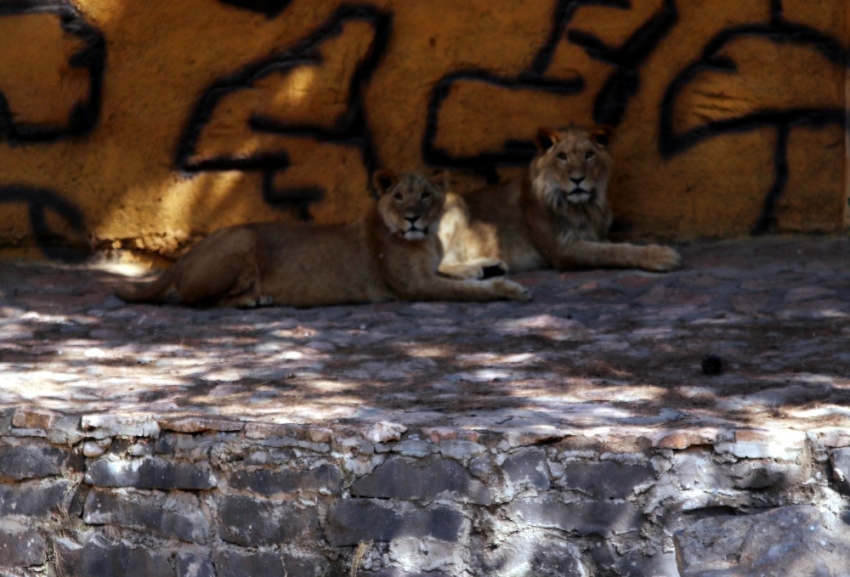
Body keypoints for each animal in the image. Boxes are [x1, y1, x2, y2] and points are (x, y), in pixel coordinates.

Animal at [111, 170, 524, 308]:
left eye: (425, 196)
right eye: (398, 196)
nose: (412, 218)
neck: (426, 239)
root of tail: (184, 256)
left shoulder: (427, 271)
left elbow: (455, 271)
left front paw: (489, 266)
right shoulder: (414, 286)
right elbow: (464, 290)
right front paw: (508, 288)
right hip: (244, 237)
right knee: (196, 300)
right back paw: (253, 300)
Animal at [440, 123, 680, 274]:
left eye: (589, 155)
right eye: (562, 157)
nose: (577, 179)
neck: (584, 207)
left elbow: (617, 245)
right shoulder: (562, 250)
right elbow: (613, 252)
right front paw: (662, 256)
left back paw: (491, 266)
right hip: (454, 202)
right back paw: (475, 270)